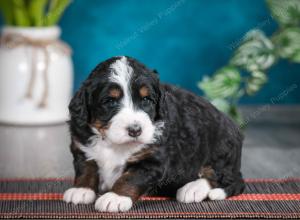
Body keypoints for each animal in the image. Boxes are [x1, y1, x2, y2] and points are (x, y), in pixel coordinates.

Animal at [62, 55, 244, 212]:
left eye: (146, 99)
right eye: (110, 101)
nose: (135, 130)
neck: (113, 143)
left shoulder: (152, 160)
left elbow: (130, 177)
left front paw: (115, 197)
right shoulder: (81, 146)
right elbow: (86, 168)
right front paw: (81, 189)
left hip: (220, 150)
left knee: (224, 178)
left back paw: (192, 189)